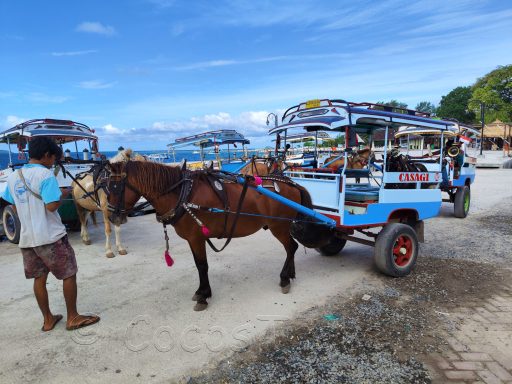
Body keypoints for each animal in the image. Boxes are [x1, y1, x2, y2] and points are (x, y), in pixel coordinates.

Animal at [105, 160, 312, 310]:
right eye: (105, 187)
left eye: (116, 188)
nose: (113, 217)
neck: (181, 193)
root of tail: (292, 184)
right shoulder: (192, 239)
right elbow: (199, 265)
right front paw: (201, 291)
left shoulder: (196, 238)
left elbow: (202, 266)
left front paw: (203, 296)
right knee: (290, 248)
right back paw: (290, 273)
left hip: (279, 226)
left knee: (291, 247)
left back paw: (284, 278)